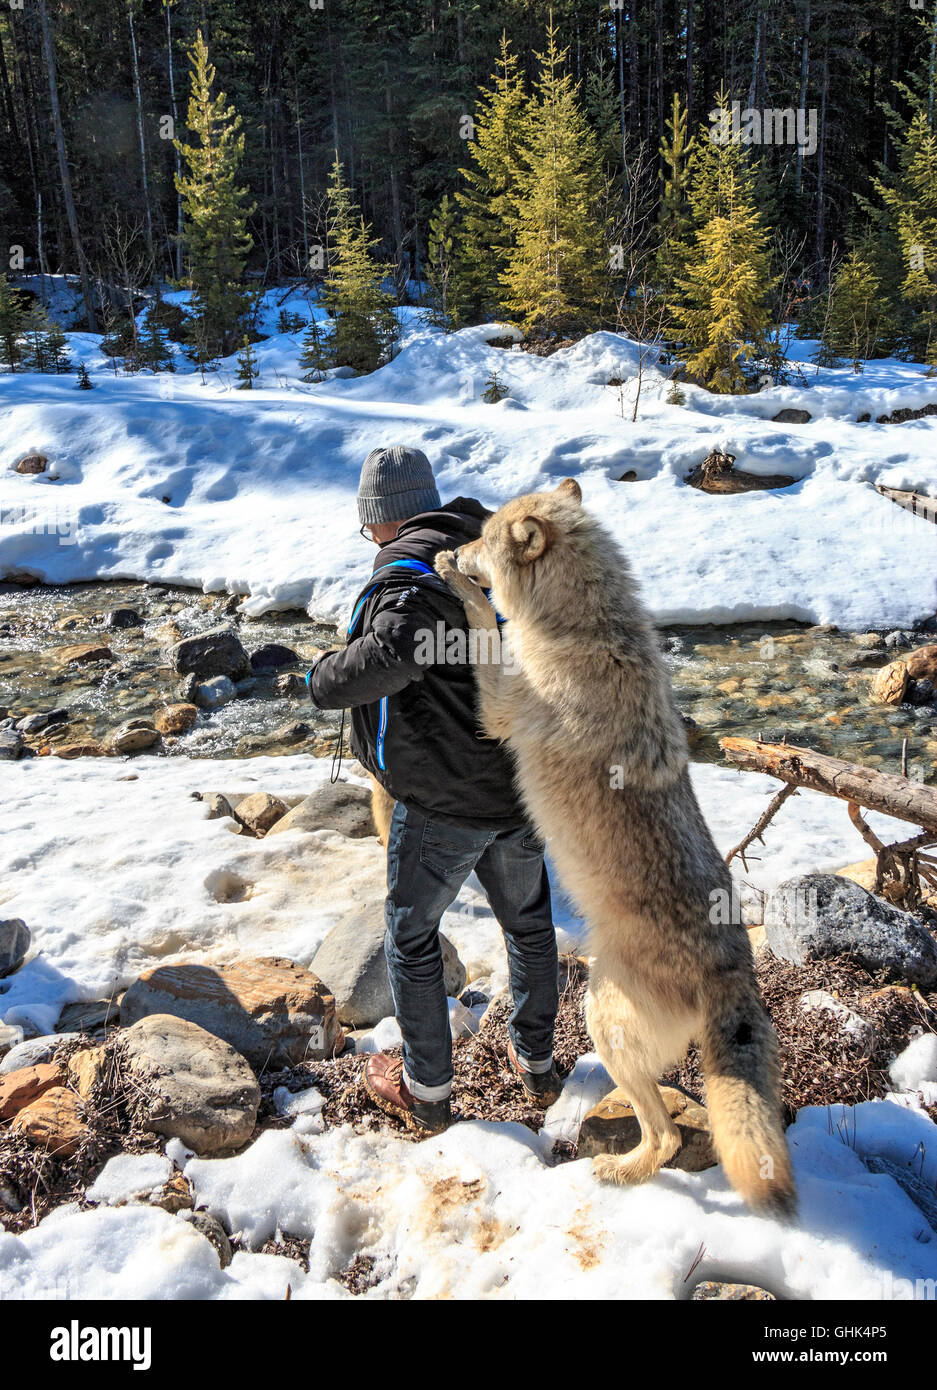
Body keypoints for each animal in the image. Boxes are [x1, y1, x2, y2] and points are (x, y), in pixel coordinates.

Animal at [433, 478, 789, 1217]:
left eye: (482, 537)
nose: (455, 549)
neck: (587, 629)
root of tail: (735, 970)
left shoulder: (499, 706)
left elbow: (482, 618)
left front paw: (455, 580)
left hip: (601, 1018)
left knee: (666, 1139)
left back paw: (614, 1174)